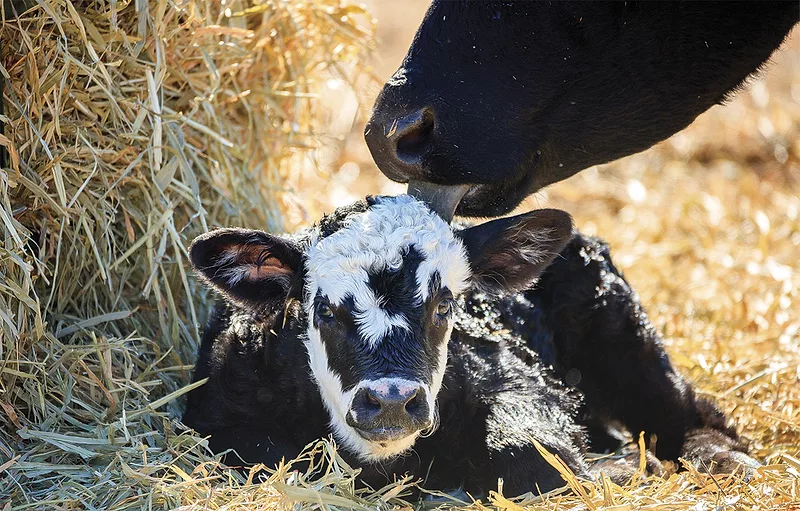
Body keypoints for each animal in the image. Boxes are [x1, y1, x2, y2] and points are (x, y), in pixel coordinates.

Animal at [183, 195, 756, 498]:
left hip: (621, 331)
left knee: (688, 410)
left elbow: (529, 452)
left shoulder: (520, 379)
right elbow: (267, 456)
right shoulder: (221, 417)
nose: (391, 400)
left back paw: (721, 458)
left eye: (445, 306)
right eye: (323, 311)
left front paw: (620, 468)